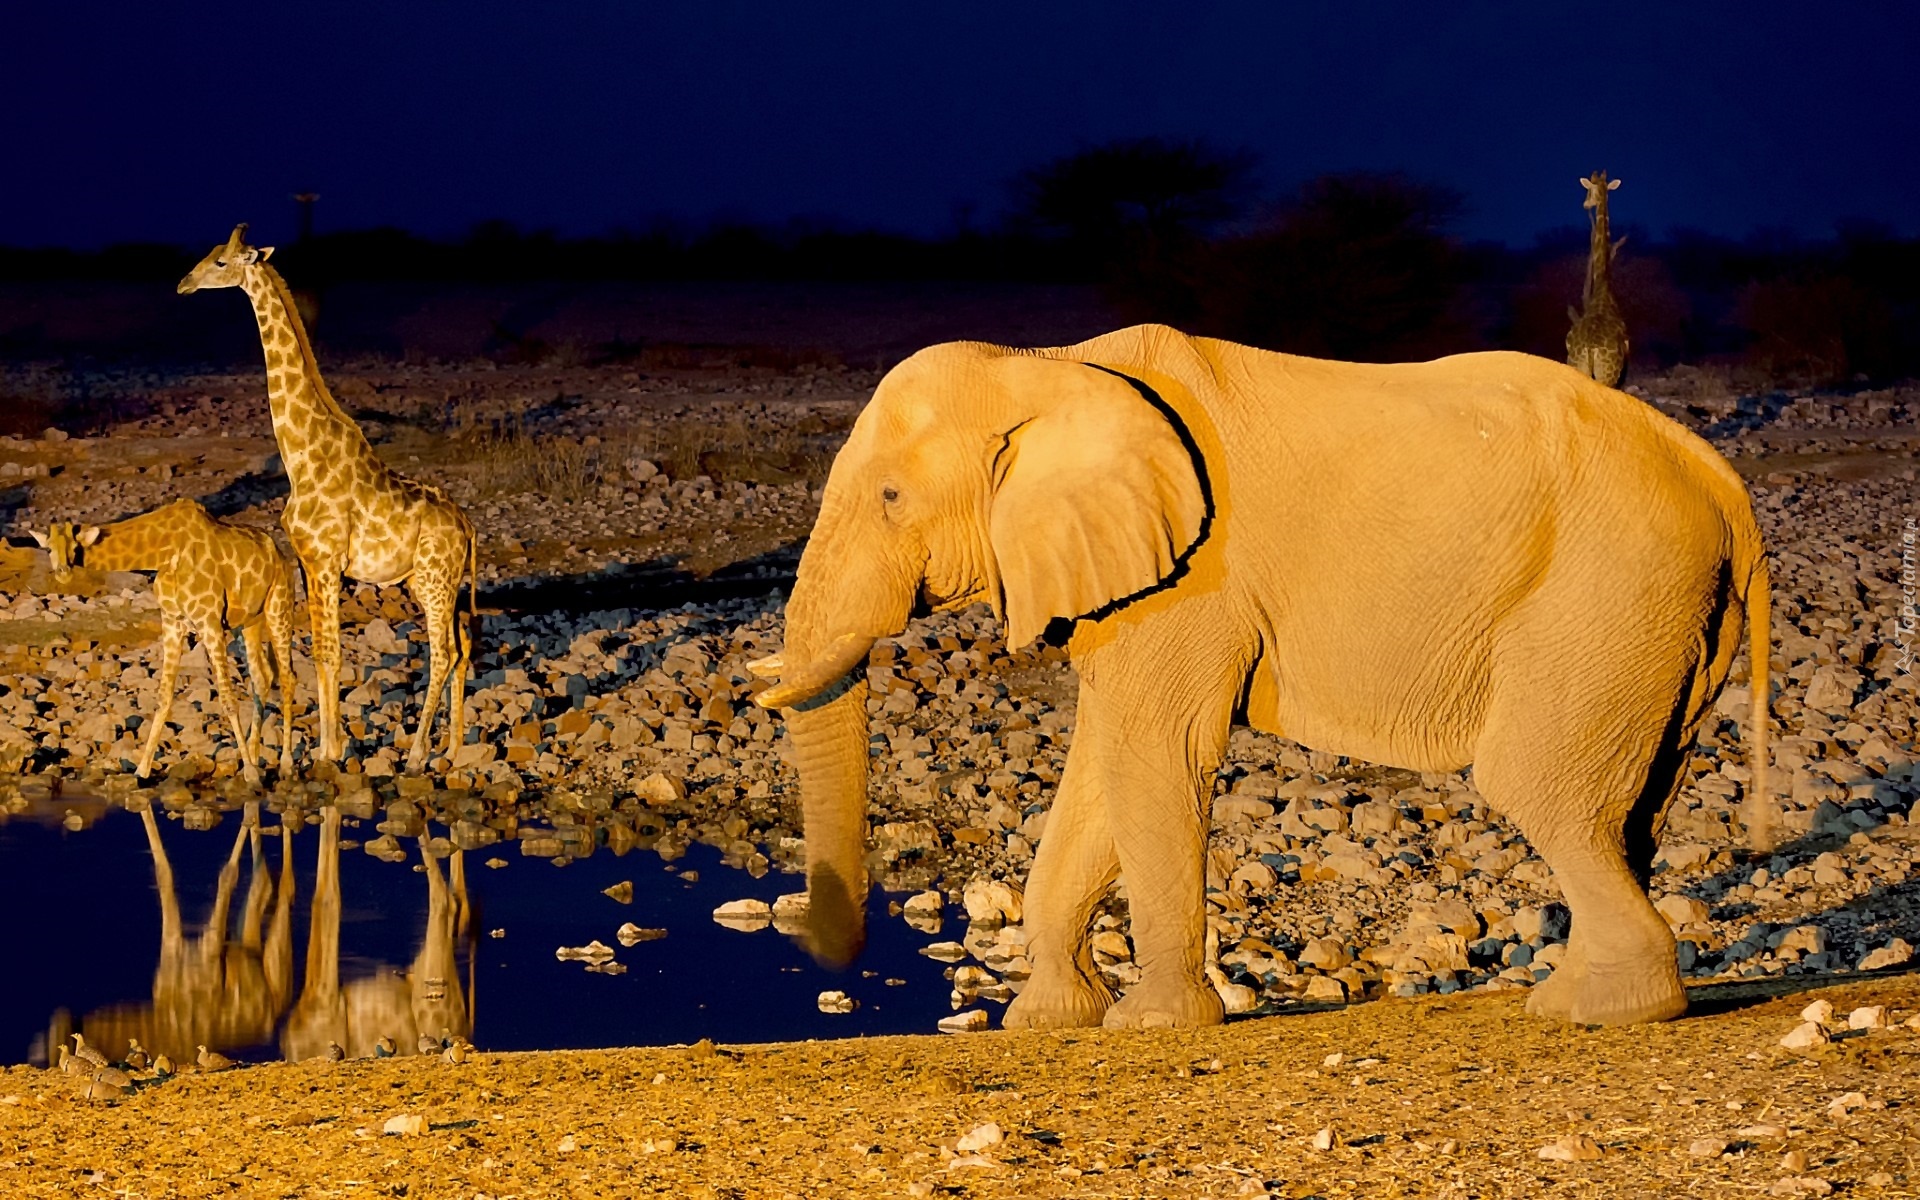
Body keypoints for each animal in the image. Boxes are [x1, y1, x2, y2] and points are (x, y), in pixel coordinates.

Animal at [32, 499, 291, 787]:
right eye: (48, 548)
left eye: (75, 547)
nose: (62, 573)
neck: (165, 551)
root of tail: (279, 553)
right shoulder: (172, 621)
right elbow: (163, 697)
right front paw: (141, 770)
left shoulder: (209, 620)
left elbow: (228, 699)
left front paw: (250, 775)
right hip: (248, 622)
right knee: (262, 677)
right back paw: (256, 757)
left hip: (278, 605)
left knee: (287, 677)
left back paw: (285, 766)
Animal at [178, 224, 478, 775]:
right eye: (209, 256)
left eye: (222, 262)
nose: (184, 282)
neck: (300, 456)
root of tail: (469, 526)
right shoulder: (307, 562)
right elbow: (318, 652)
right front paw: (323, 748)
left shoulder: (325, 561)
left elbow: (330, 653)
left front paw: (329, 752)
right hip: (432, 582)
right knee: (464, 646)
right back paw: (451, 747)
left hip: (434, 580)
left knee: (444, 651)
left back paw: (417, 755)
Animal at [748, 322, 1766, 1021]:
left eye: (890, 497)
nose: (829, 956)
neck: (1048, 364)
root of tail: (1717, 475)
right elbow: (1100, 767)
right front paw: (1047, 1022)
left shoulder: (1194, 577)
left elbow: (1153, 756)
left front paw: (1153, 1026)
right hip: (1663, 620)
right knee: (1631, 809)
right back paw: (1576, 996)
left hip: (1606, 590)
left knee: (1538, 787)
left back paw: (1604, 1012)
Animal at [1566, 170, 1628, 385]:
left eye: (1589, 190)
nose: (1585, 204)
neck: (1604, 282)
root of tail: (1590, 348)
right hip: (1607, 374)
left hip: (1579, 366)